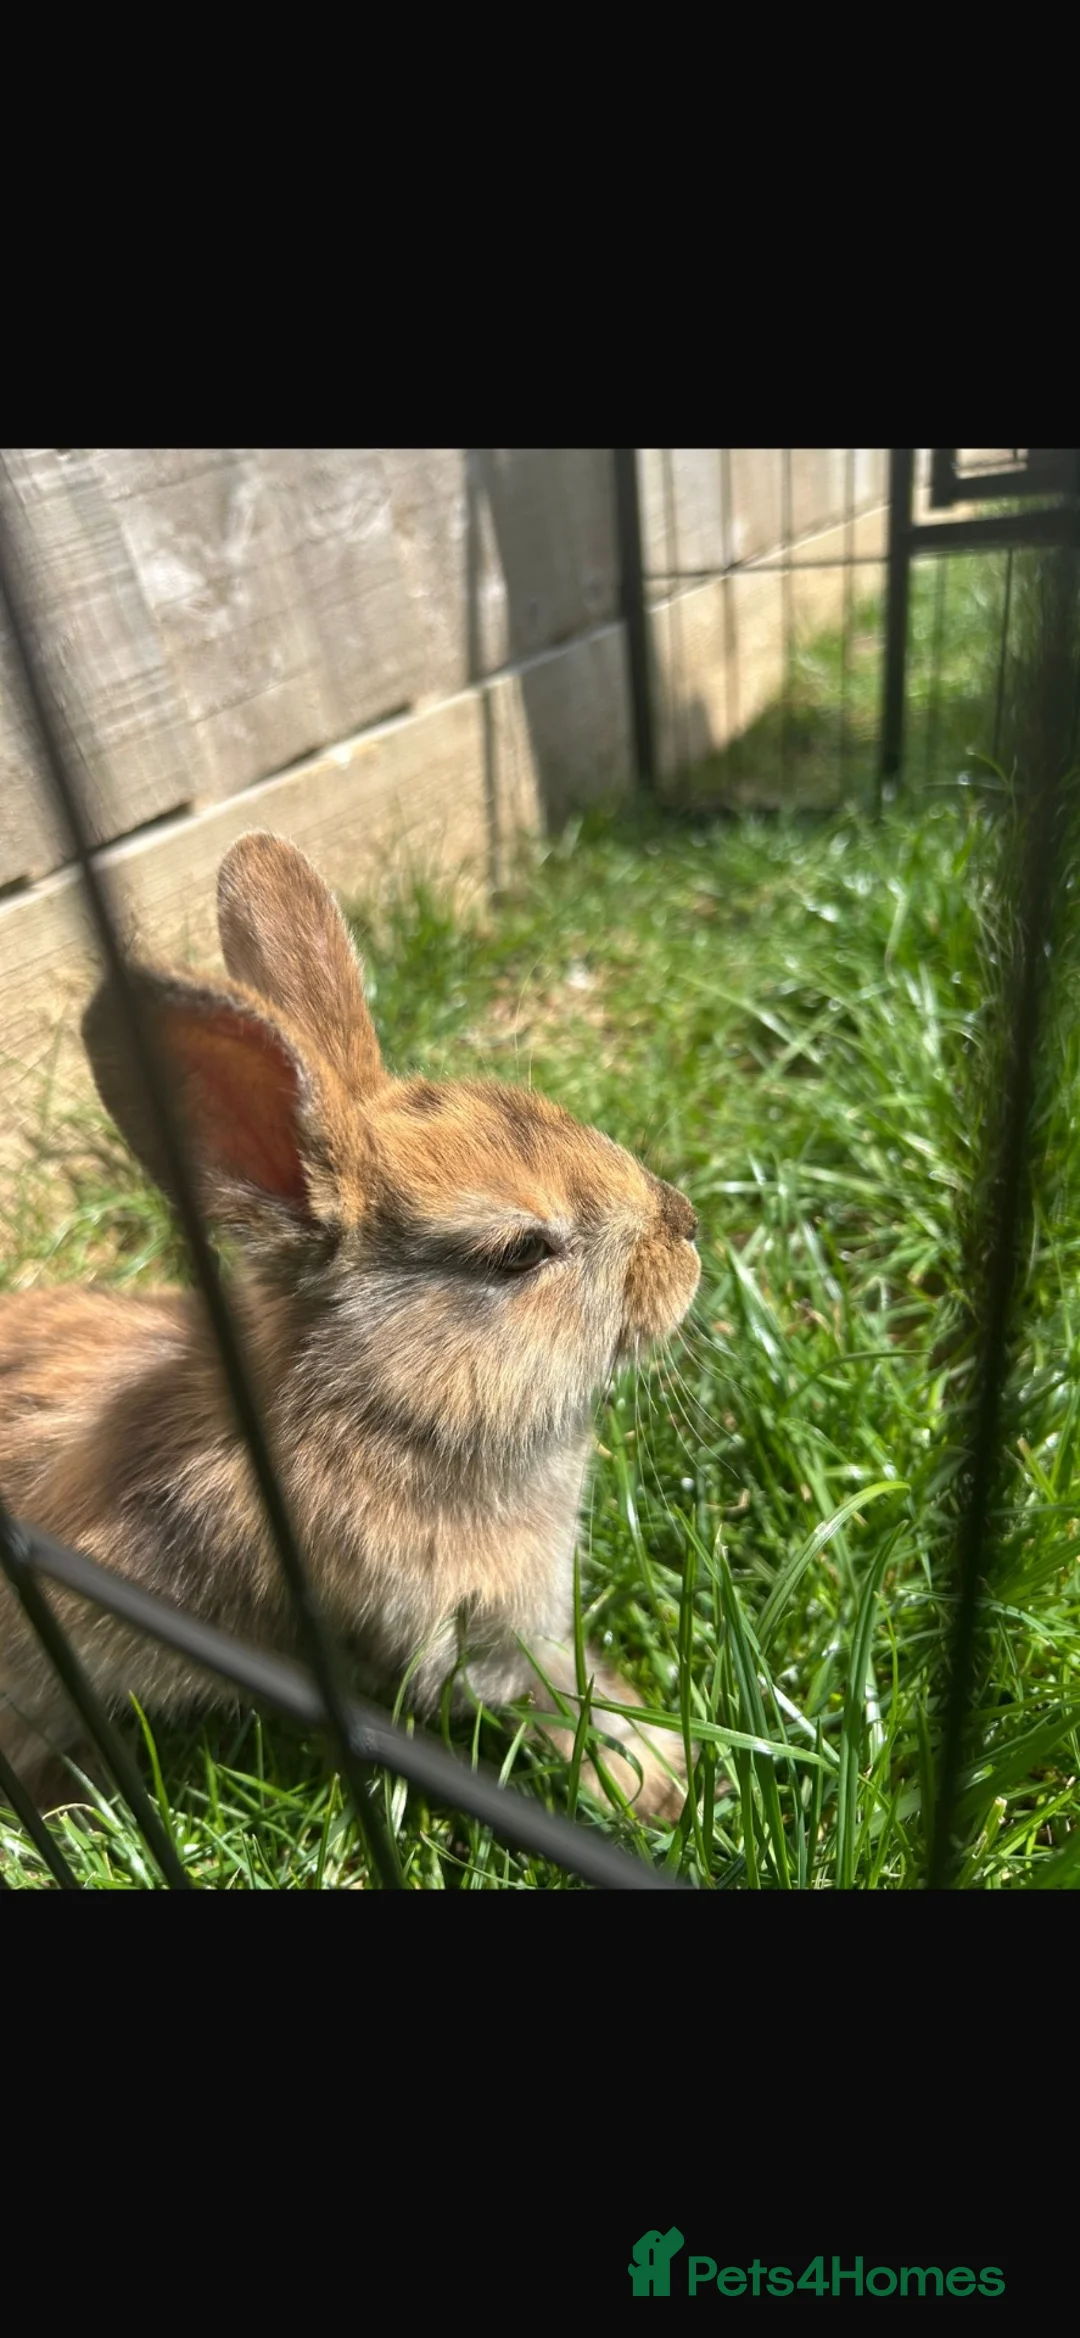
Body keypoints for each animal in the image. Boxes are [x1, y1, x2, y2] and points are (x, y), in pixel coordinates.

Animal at [0, 832, 701, 1829]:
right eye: (520, 1251)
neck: (380, 1406)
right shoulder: (468, 1630)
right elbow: (556, 1697)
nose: (687, 1230)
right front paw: (657, 1782)